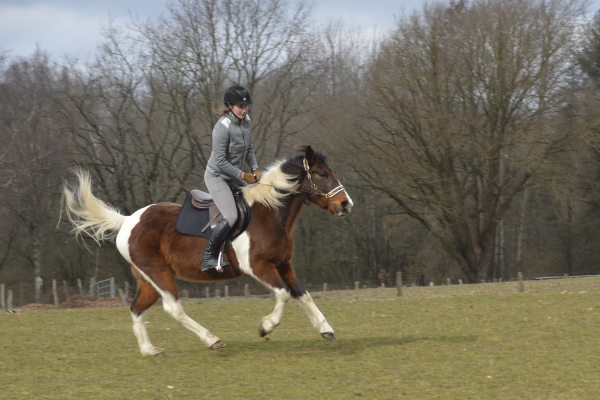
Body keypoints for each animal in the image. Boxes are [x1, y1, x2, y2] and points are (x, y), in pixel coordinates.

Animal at [62, 145, 352, 354]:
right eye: (323, 175)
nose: (346, 204)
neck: (269, 212)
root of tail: (127, 221)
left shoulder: (283, 264)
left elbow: (303, 294)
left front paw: (325, 329)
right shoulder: (258, 266)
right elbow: (283, 295)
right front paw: (266, 327)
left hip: (147, 279)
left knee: (137, 308)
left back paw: (149, 350)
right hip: (158, 273)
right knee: (173, 308)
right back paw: (211, 340)